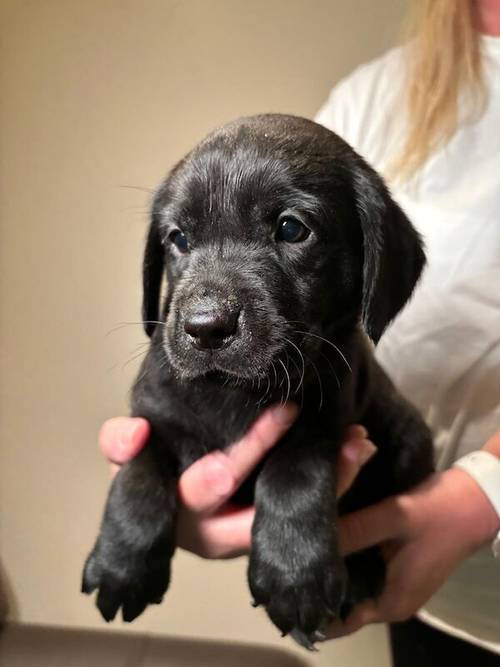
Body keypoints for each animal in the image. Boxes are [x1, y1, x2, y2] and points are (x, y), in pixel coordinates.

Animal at [82, 113, 434, 648]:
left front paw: (295, 574)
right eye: (178, 238)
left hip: (410, 436)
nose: (206, 326)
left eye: (292, 228)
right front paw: (122, 563)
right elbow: (138, 471)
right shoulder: (151, 414)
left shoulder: (323, 416)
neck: (235, 392)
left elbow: (294, 473)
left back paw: (361, 570)